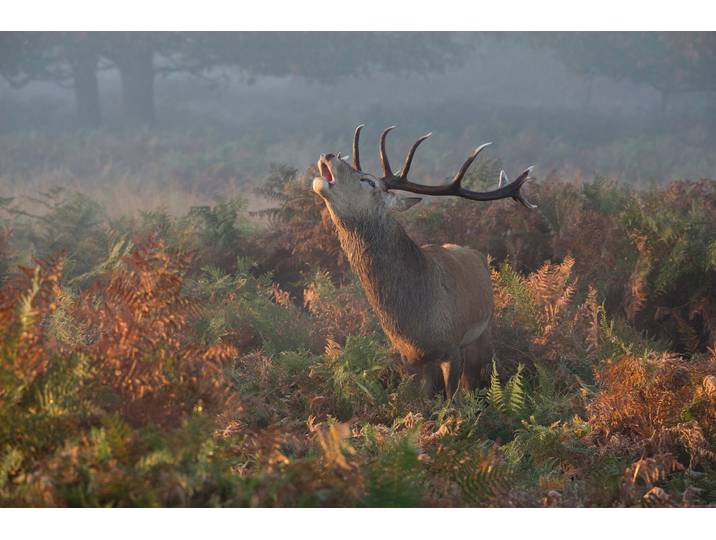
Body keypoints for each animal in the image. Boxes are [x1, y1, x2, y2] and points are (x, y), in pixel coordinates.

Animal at [312, 125, 536, 399]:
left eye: (368, 181)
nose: (328, 154)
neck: (416, 321)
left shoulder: (452, 347)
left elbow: (452, 401)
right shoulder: (408, 358)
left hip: (482, 333)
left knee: (473, 380)